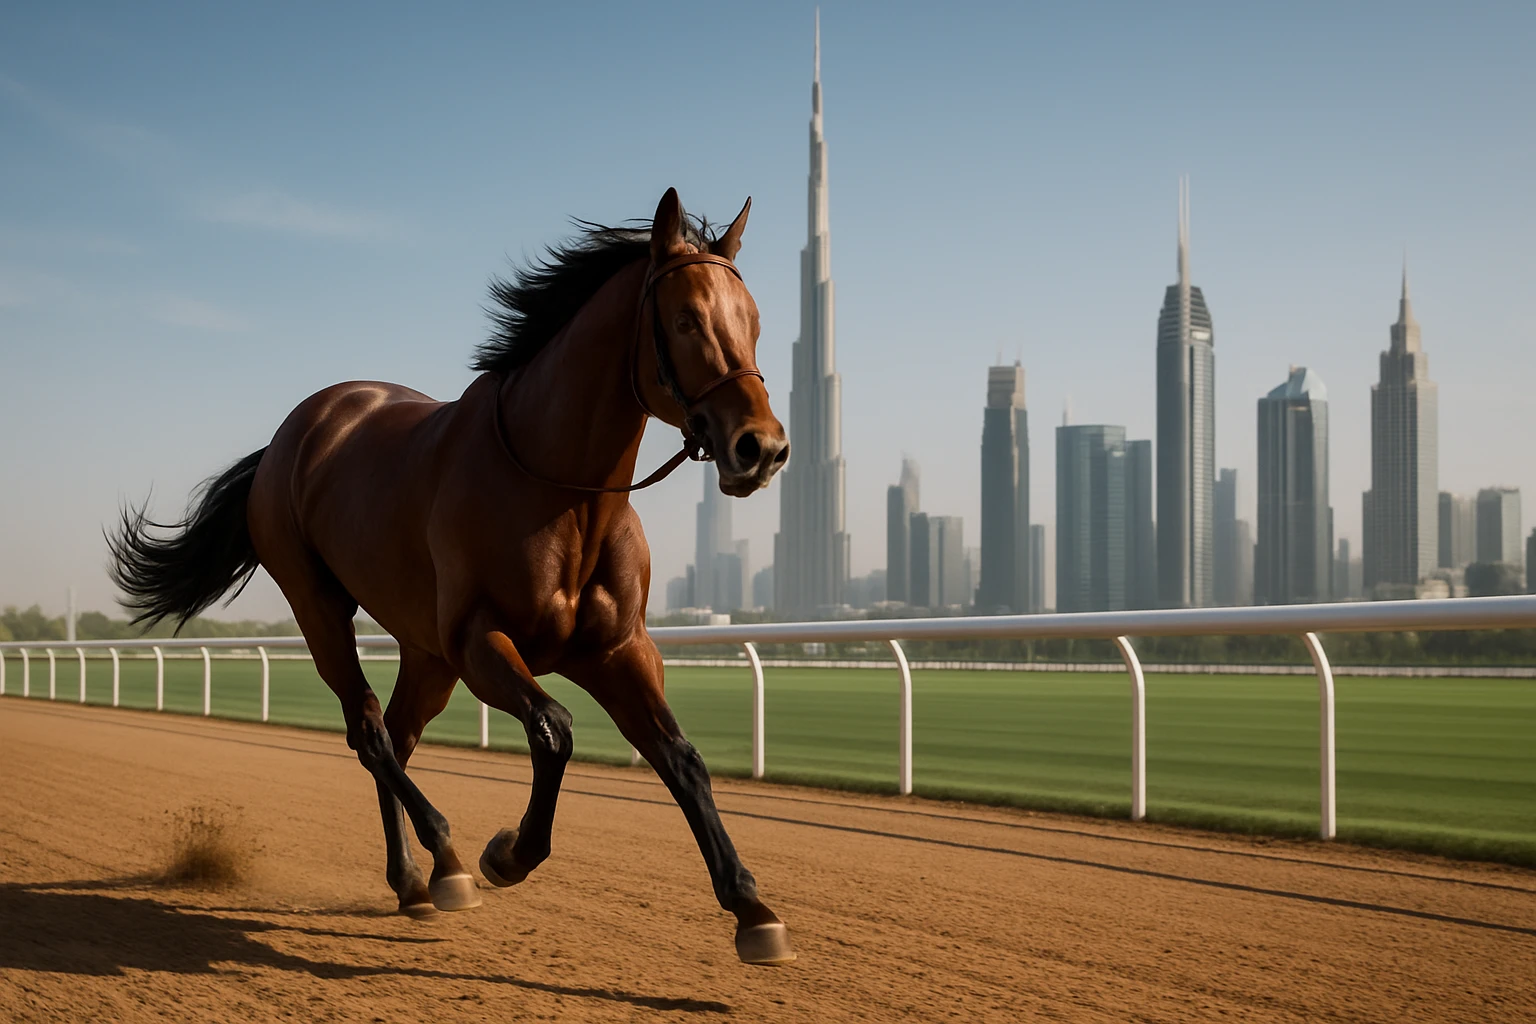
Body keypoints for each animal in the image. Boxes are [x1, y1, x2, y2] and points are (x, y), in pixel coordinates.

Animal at [107, 188, 796, 965]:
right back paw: (448, 861)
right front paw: (507, 853)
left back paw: (412, 878)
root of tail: (295, 431)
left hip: (424, 652)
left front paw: (752, 908)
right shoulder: (478, 641)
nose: (762, 447)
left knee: (398, 734)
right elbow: (554, 729)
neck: (561, 491)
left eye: (754, 322)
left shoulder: (618, 649)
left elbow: (682, 759)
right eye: (685, 319)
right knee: (371, 733)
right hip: (320, 607)